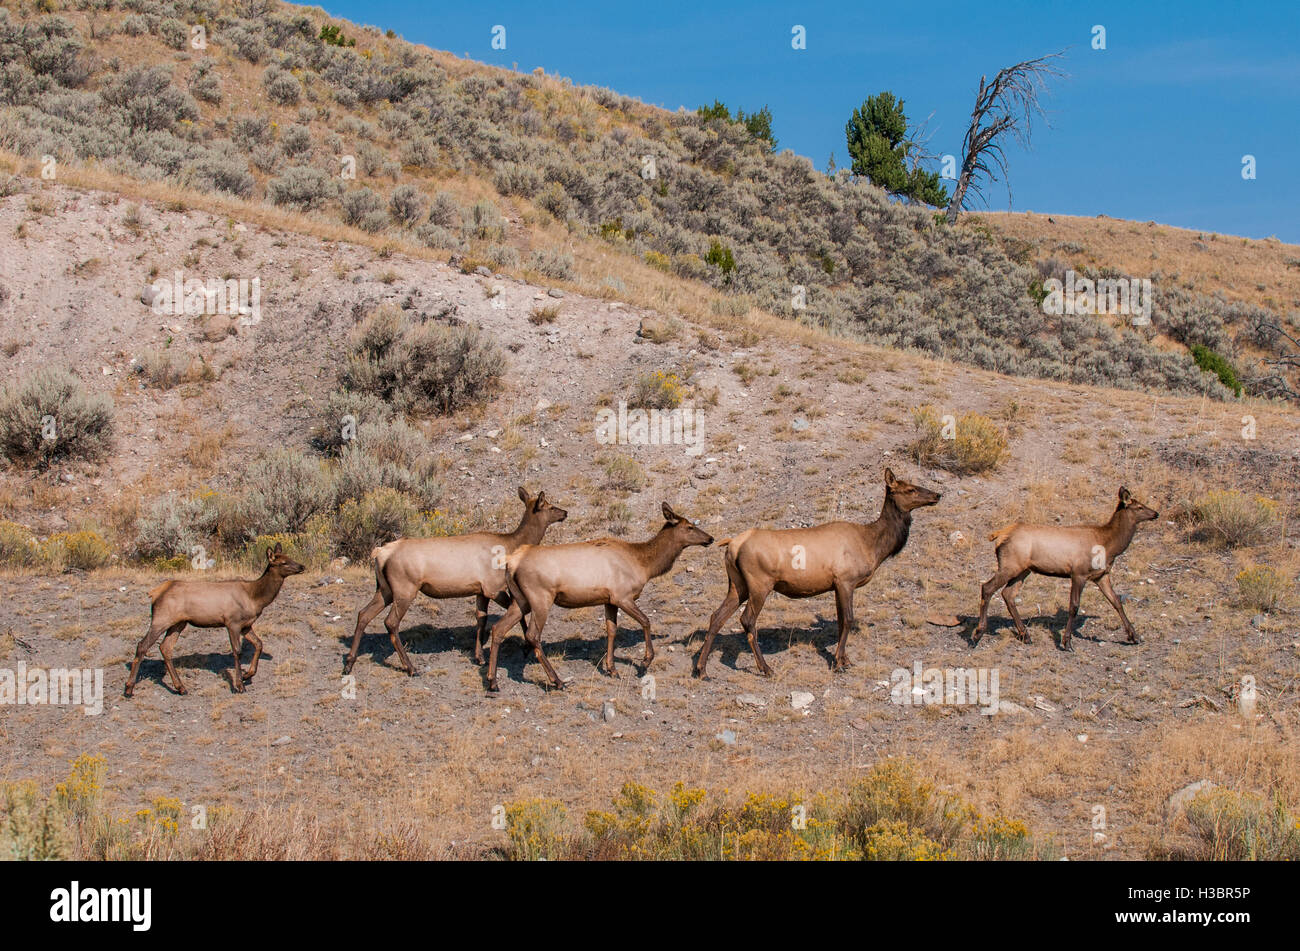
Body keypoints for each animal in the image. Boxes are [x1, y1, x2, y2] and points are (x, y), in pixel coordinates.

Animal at [124, 543, 306, 696]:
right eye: (283, 562)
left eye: (290, 557)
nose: (302, 566)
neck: (255, 599)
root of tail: (154, 593)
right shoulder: (232, 622)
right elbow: (237, 651)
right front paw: (239, 685)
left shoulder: (246, 625)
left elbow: (259, 644)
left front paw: (248, 674)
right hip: (161, 618)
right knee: (142, 645)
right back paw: (129, 688)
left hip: (178, 623)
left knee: (165, 647)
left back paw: (181, 687)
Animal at [345, 491, 569, 675]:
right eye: (550, 506)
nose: (565, 512)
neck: (510, 546)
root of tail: (380, 553)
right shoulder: (493, 587)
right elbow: (518, 615)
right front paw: (524, 647)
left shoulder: (480, 590)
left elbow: (481, 619)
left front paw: (479, 657)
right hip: (404, 588)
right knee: (390, 622)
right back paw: (410, 667)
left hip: (384, 589)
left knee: (363, 614)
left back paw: (349, 662)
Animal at [486, 504, 717, 691]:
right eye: (689, 527)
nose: (710, 538)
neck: (644, 564)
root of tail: (511, 563)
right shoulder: (623, 595)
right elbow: (646, 621)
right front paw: (644, 662)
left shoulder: (609, 600)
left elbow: (611, 630)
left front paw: (612, 669)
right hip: (540, 597)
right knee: (532, 635)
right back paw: (557, 681)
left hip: (521, 600)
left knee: (498, 628)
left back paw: (492, 681)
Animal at [696, 465, 941, 675]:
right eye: (910, 489)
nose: (937, 494)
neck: (873, 545)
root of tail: (732, 544)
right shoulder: (845, 580)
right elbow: (849, 619)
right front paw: (838, 663)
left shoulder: (836, 585)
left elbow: (841, 621)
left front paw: (845, 659)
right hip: (759, 583)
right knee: (747, 620)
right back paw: (766, 668)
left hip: (738, 585)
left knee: (716, 616)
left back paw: (702, 669)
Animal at [972, 485, 1164, 649]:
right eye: (1139, 506)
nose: (1156, 513)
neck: (1109, 545)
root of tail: (999, 535)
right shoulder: (1078, 573)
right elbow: (1074, 606)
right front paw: (1066, 642)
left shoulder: (1101, 575)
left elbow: (1116, 601)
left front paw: (1134, 636)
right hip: (1010, 565)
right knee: (987, 587)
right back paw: (977, 634)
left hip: (1023, 570)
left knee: (1008, 594)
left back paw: (1025, 635)